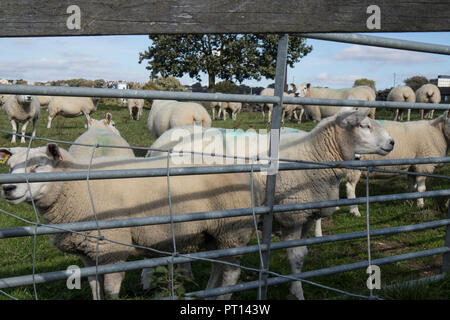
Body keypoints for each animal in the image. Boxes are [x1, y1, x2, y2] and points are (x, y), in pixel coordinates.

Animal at [0, 145, 264, 300]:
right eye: (10, 167)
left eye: (37, 166)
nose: (7, 188)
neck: (76, 187)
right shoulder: (88, 252)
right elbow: (95, 287)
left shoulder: (112, 247)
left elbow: (109, 289)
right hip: (214, 233)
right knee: (219, 266)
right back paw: (210, 294)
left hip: (233, 229)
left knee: (231, 273)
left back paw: (223, 296)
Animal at [145, 109, 394, 298]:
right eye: (364, 126)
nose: (392, 142)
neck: (313, 153)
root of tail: (162, 141)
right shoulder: (292, 216)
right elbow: (295, 256)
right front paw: (298, 292)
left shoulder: (307, 216)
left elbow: (303, 254)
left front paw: (295, 286)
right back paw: (149, 283)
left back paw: (185, 274)